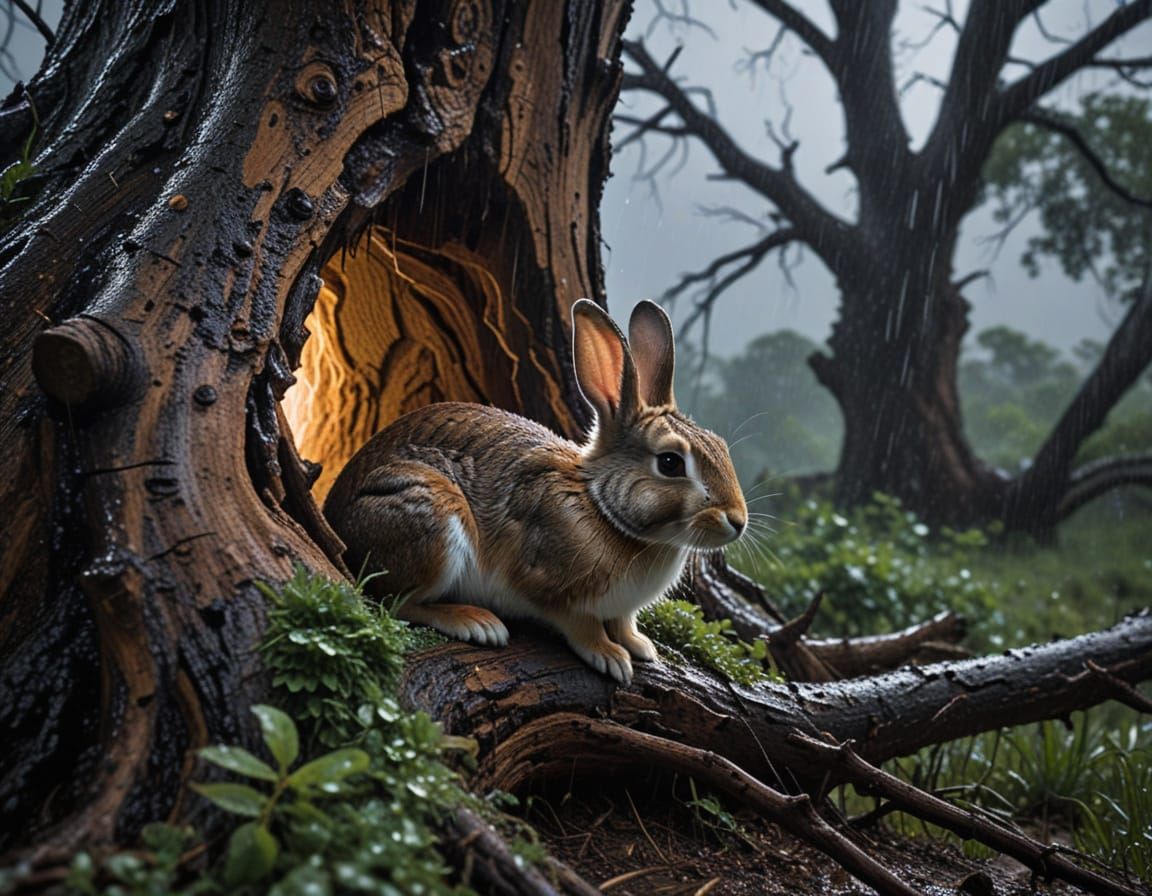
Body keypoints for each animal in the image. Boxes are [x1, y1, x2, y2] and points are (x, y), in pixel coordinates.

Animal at [322, 299, 747, 684]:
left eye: (721, 446)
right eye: (671, 463)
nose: (737, 521)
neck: (601, 506)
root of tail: (334, 514)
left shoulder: (621, 609)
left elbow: (624, 622)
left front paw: (640, 646)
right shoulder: (552, 587)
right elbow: (581, 625)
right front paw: (611, 657)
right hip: (433, 520)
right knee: (396, 601)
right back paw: (476, 623)